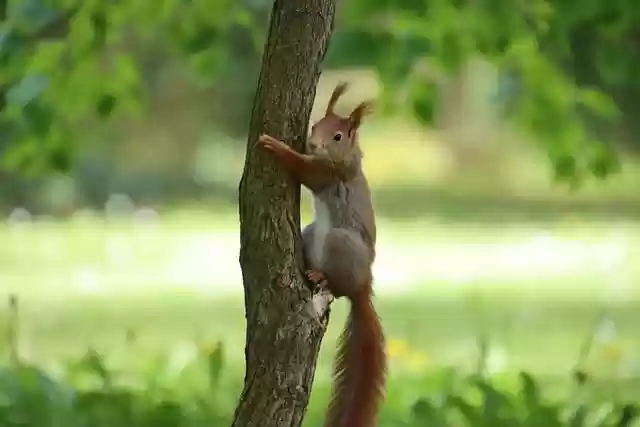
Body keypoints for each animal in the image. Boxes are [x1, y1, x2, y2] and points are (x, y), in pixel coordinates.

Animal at [256, 82, 387, 427]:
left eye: (338, 136)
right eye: (315, 125)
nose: (312, 143)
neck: (346, 159)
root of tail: (363, 286)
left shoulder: (327, 174)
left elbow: (303, 169)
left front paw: (275, 145)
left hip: (341, 244)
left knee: (338, 288)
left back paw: (321, 276)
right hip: (312, 232)